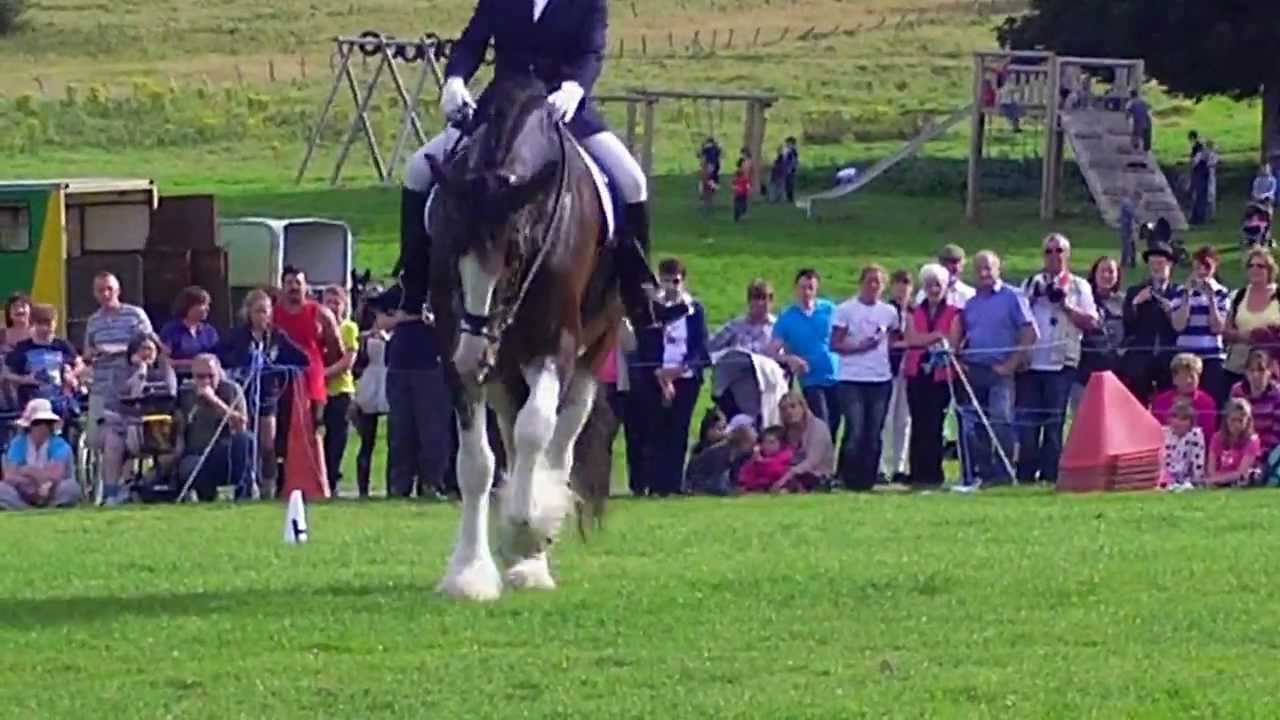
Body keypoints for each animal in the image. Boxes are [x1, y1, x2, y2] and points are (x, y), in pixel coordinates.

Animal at [427, 73, 622, 599]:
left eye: (514, 256)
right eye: (451, 249)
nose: (474, 355)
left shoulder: (556, 349)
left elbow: (538, 429)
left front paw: (527, 531)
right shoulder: (454, 354)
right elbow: (476, 465)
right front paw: (468, 573)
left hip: (589, 356)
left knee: (558, 441)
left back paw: (534, 549)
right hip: (502, 370)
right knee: (513, 439)